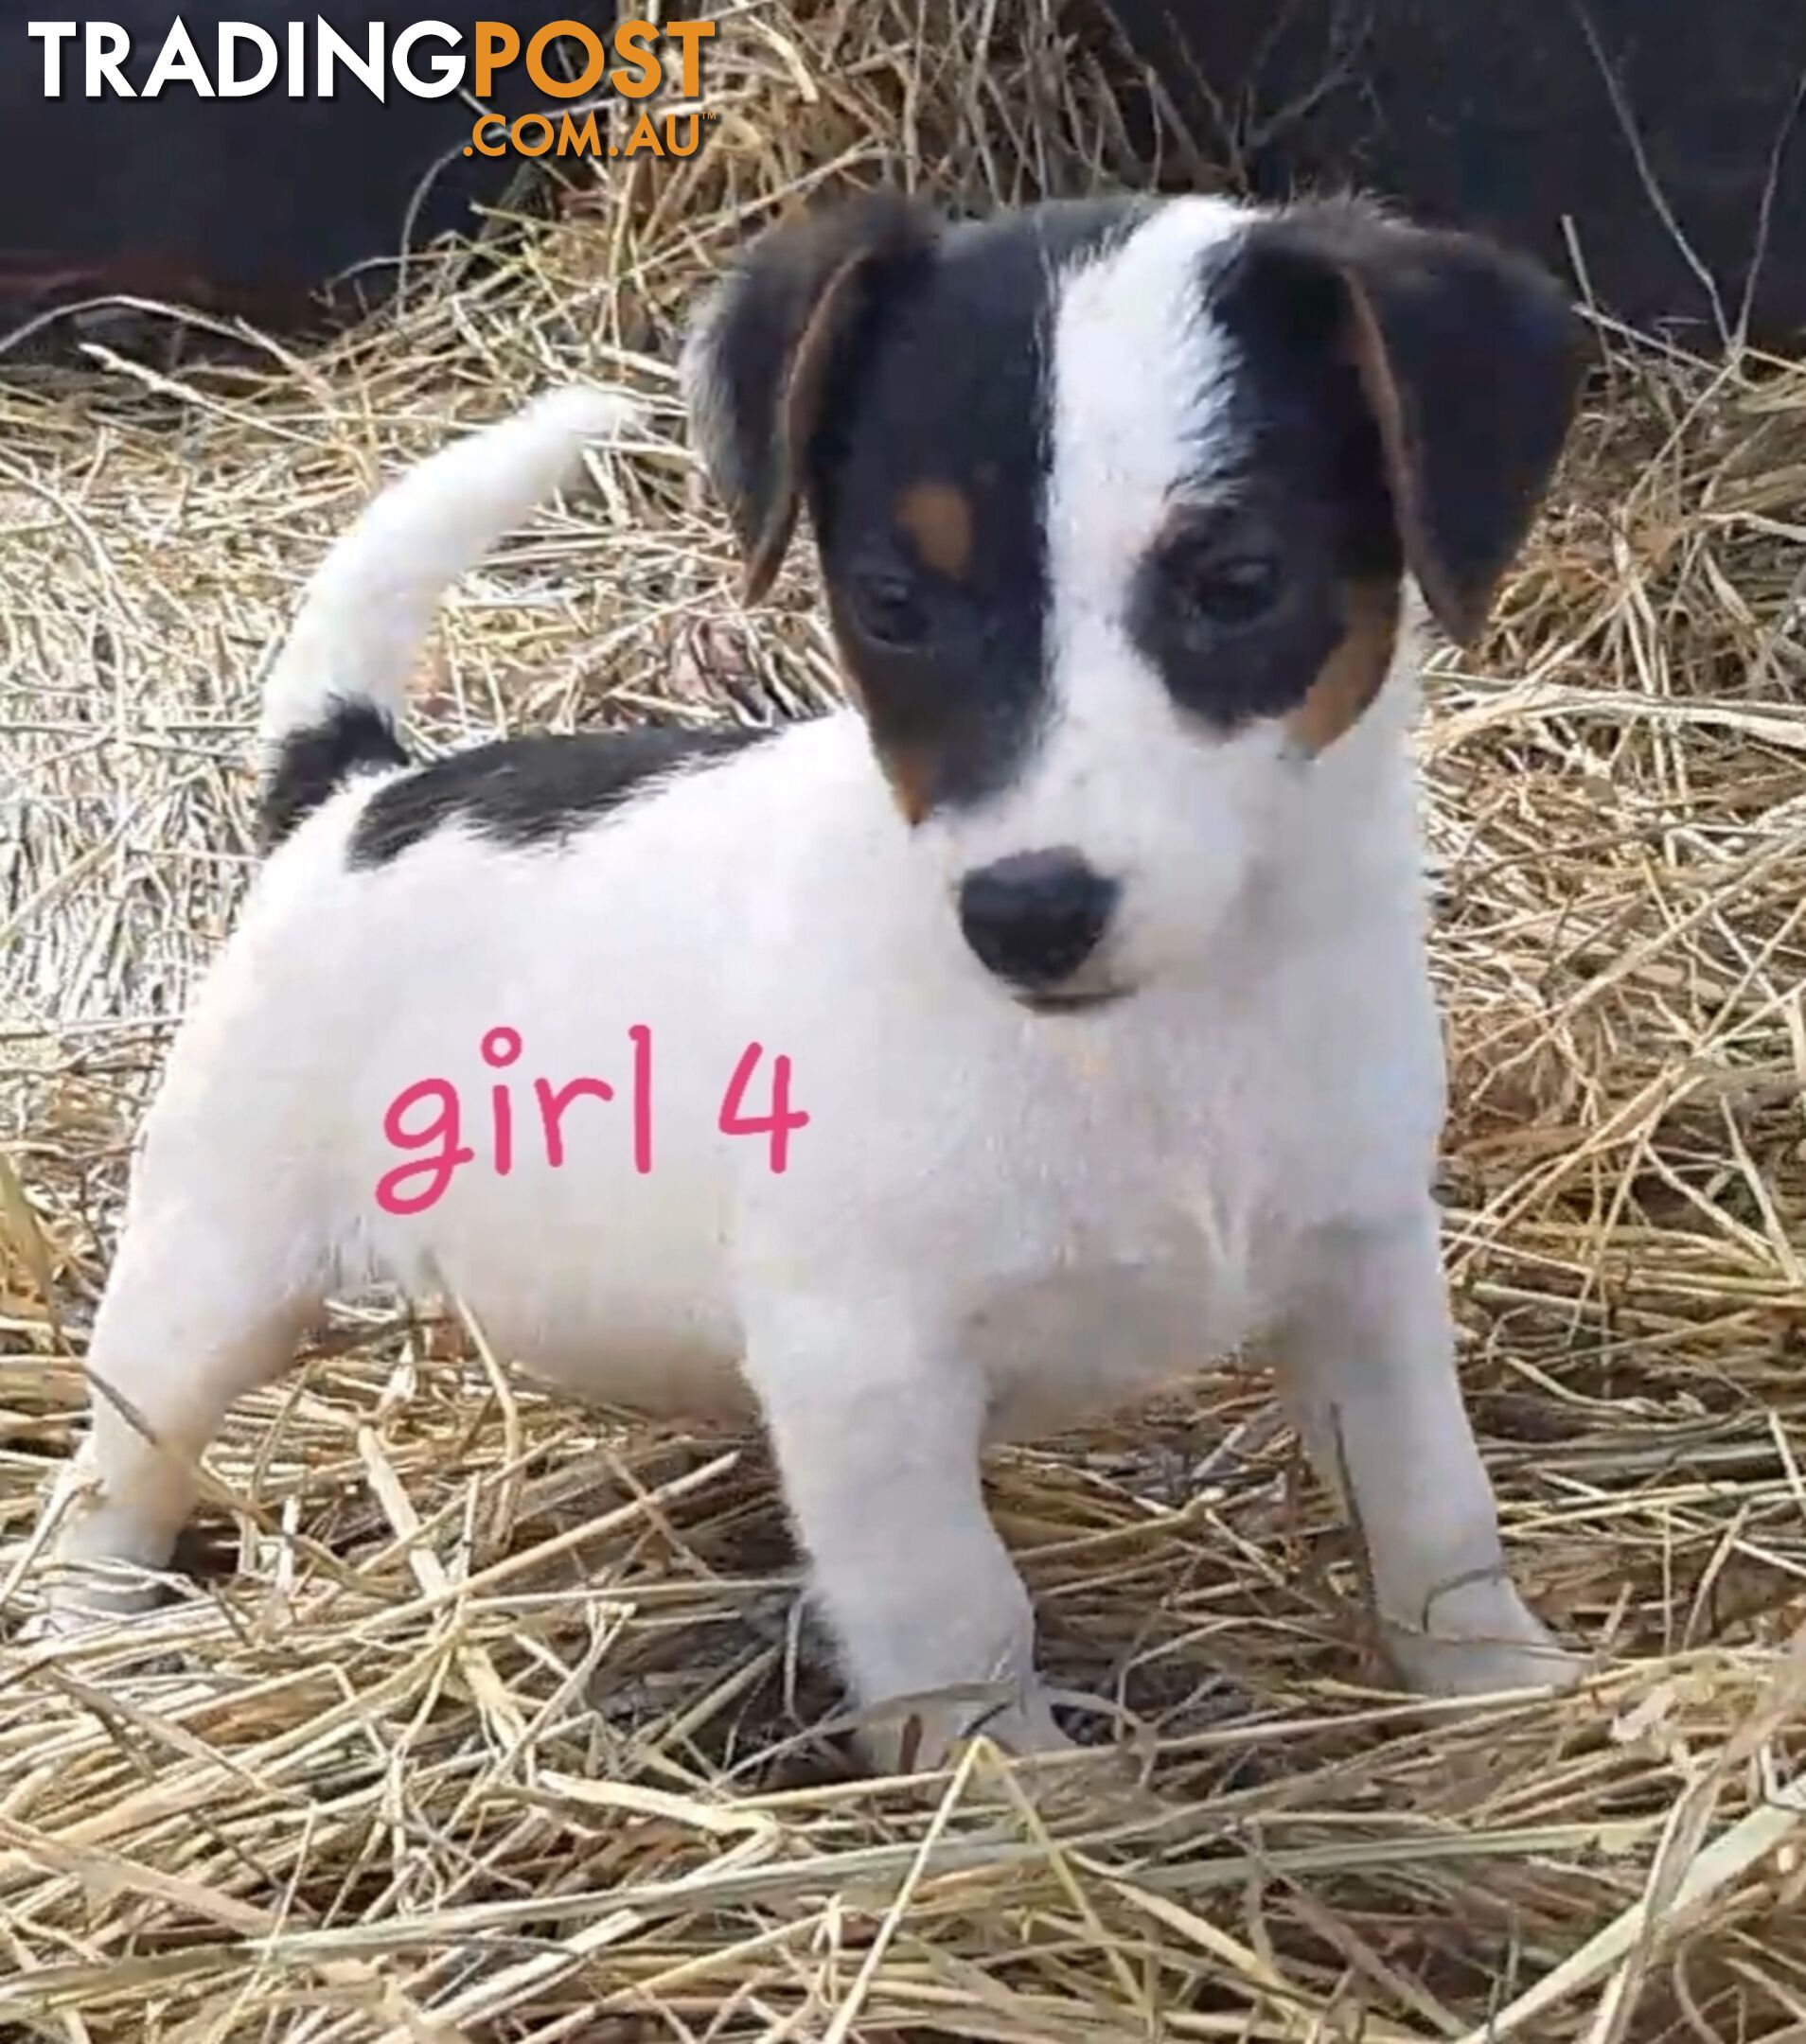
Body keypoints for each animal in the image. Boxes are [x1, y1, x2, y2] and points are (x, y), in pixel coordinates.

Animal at [25, 192, 1579, 1773]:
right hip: (210, 1267)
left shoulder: (1365, 1268)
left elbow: (1436, 1506)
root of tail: (352, 793)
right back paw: (90, 1624)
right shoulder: (867, 1372)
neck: (1162, 1044)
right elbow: (960, 1616)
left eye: (1240, 585)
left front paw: (1509, 1691)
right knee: (118, 1462)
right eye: (893, 604)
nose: (1024, 914)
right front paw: (1028, 1798)